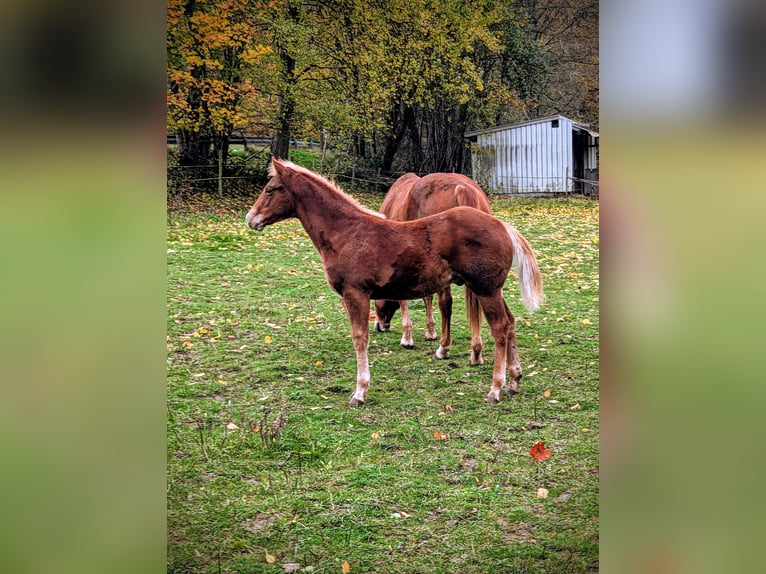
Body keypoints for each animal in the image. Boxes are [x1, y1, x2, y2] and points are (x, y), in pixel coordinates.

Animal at [375, 172, 493, 367]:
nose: (379, 325)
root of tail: (462, 188)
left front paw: (407, 338)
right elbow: (426, 297)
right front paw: (430, 332)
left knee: (445, 302)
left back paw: (444, 349)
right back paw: (476, 352)